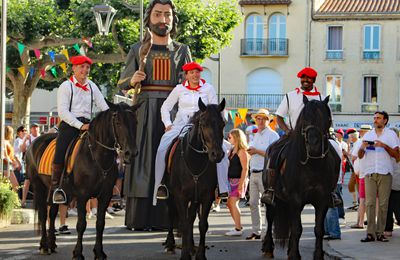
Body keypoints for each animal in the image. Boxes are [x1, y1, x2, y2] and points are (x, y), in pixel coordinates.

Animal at [25, 100, 141, 258]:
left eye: (135, 122)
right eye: (118, 122)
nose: (131, 153)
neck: (97, 157)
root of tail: (34, 143)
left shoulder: (105, 196)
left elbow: (100, 224)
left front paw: (99, 252)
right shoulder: (82, 195)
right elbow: (81, 224)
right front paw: (78, 253)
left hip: (53, 190)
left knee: (52, 213)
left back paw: (52, 244)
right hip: (39, 187)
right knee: (43, 214)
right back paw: (44, 246)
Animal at [162, 98, 225, 260]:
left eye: (222, 124)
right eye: (204, 124)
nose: (217, 154)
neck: (195, 161)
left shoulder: (206, 196)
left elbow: (202, 224)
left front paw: (200, 254)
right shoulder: (180, 196)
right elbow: (183, 223)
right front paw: (184, 255)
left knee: (191, 218)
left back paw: (191, 247)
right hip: (170, 195)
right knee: (171, 214)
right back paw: (170, 244)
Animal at [262, 96, 340, 260]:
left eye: (326, 118)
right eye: (304, 118)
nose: (313, 144)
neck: (313, 164)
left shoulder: (322, 200)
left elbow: (318, 229)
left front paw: (318, 255)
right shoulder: (295, 199)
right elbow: (298, 229)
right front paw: (294, 255)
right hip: (273, 199)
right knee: (270, 218)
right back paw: (268, 248)